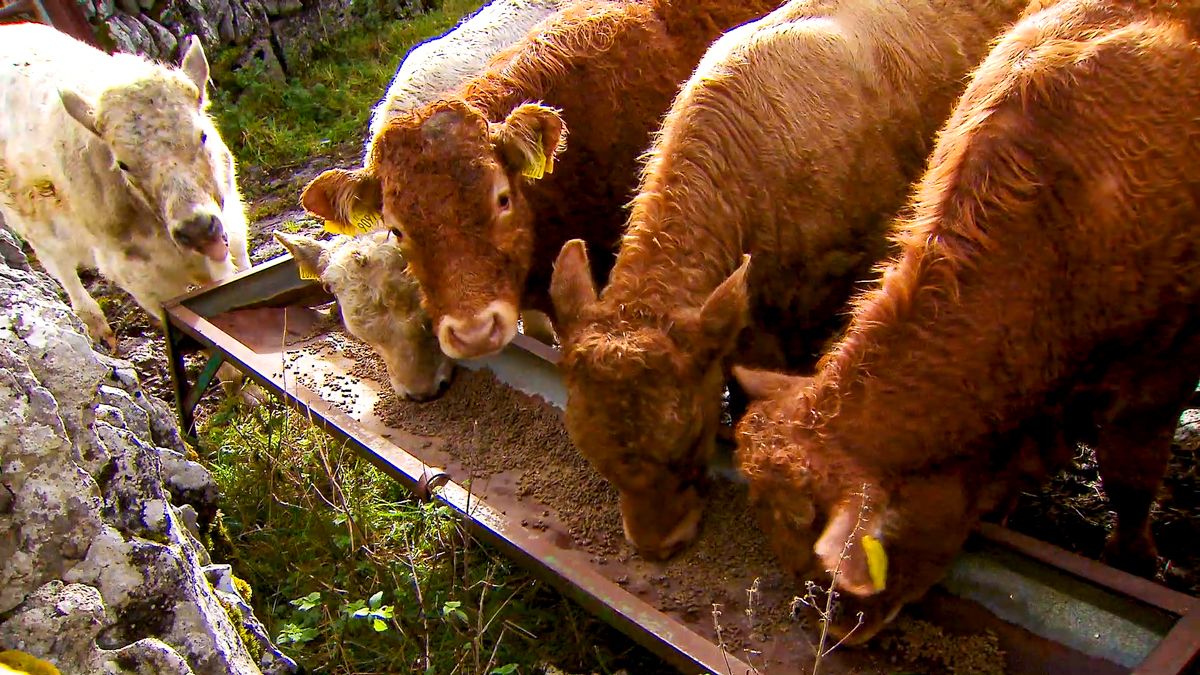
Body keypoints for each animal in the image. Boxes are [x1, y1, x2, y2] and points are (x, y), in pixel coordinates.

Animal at [0, 24, 250, 356]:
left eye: (202, 135)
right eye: (123, 164)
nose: (197, 229)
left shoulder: (232, 229)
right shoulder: (138, 278)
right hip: (34, 225)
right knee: (62, 269)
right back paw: (95, 324)